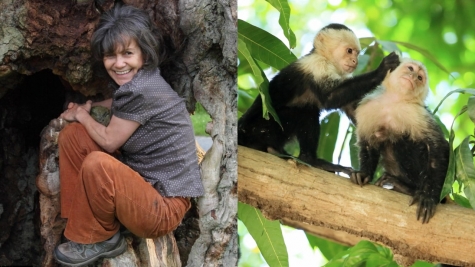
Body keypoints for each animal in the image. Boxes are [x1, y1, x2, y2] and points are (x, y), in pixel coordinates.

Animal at [240, 23, 400, 176]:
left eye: (357, 53)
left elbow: (361, 115)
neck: (326, 59)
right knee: (307, 111)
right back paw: (310, 160)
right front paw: (381, 70)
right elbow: (329, 99)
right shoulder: (318, 65)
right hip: (261, 128)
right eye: (349, 51)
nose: (355, 61)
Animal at [354, 58, 450, 224]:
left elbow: (438, 146)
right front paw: (364, 174)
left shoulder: (416, 113)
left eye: (420, 78)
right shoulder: (368, 107)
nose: (413, 76)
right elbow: (368, 142)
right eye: (410, 68)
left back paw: (408, 189)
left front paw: (429, 196)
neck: (394, 102)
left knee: (405, 140)